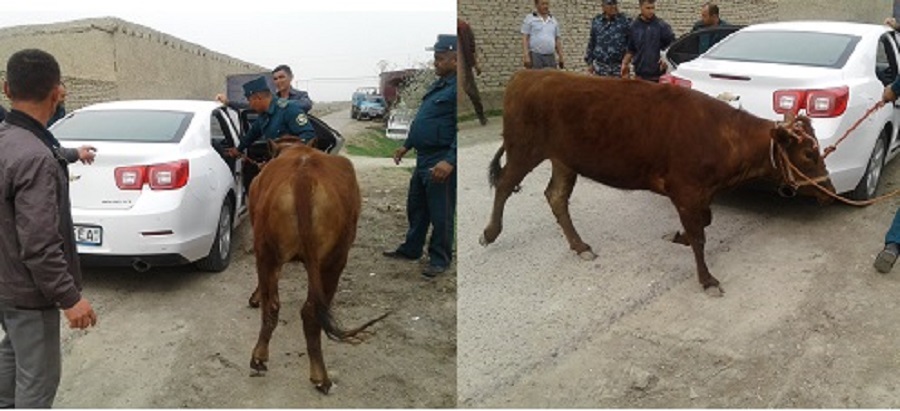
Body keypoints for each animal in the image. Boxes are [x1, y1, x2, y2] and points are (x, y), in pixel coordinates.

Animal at [246, 138, 386, 392]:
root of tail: (303, 178)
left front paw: (255, 297)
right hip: (334, 259)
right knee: (308, 311)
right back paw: (319, 375)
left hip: (270, 251)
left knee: (279, 307)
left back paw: (261, 358)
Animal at [482, 70, 832, 296]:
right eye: (809, 154)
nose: (829, 190)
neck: (722, 136)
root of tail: (528, 75)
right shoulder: (686, 190)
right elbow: (700, 234)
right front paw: (707, 279)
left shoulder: (699, 194)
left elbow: (703, 223)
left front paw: (678, 237)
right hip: (524, 148)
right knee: (504, 185)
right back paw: (490, 232)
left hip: (564, 160)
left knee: (556, 196)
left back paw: (580, 246)